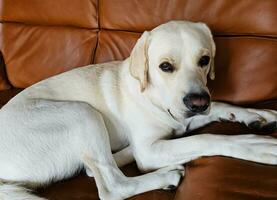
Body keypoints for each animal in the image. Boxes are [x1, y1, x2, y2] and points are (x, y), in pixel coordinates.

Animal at [0, 21, 276, 199]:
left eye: (204, 60)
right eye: (165, 66)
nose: (198, 102)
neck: (156, 98)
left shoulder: (182, 121)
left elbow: (218, 106)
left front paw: (256, 114)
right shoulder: (150, 148)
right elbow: (206, 139)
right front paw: (253, 144)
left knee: (96, 168)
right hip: (82, 113)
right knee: (112, 186)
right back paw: (166, 176)